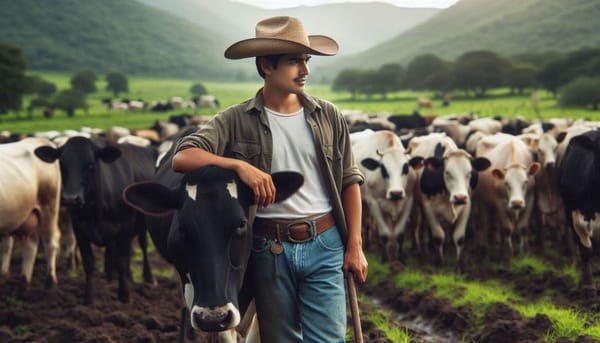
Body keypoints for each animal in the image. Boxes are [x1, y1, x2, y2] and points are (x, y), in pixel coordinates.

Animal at [0, 137, 61, 290]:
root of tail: (38, 139)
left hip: (49, 206)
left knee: (50, 241)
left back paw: (50, 281)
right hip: (29, 216)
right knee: (31, 245)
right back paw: (24, 281)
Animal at [34, 136, 158, 306]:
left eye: (90, 165)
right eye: (61, 164)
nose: (70, 198)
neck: (96, 211)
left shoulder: (125, 227)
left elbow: (122, 261)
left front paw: (124, 296)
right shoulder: (80, 230)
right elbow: (89, 263)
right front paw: (88, 298)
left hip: (142, 224)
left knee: (143, 246)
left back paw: (148, 278)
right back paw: (111, 276)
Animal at [350, 130, 420, 262]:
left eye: (406, 168)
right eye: (383, 169)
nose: (396, 193)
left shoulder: (408, 200)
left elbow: (399, 234)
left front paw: (400, 257)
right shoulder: (374, 203)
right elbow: (384, 234)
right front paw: (385, 257)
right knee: (367, 223)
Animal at [408, 132, 488, 272]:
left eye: (469, 173)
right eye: (447, 172)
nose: (460, 197)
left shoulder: (467, 205)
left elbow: (459, 237)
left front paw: (460, 266)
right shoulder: (428, 206)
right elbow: (438, 236)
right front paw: (439, 262)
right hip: (416, 204)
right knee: (416, 223)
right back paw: (419, 247)